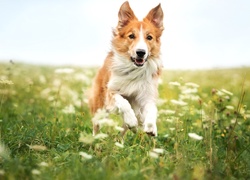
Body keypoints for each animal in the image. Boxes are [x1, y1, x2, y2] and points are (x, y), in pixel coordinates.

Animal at [88, 1, 164, 136]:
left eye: (149, 37)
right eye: (131, 36)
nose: (141, 52)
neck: (134, 69)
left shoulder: (146, 95)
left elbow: (152, 109)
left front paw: (151, 127)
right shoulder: (111, 91)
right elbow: (123, 102)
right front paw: (131, 119)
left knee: (123, 132)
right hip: (99, 107)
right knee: (96, 126)